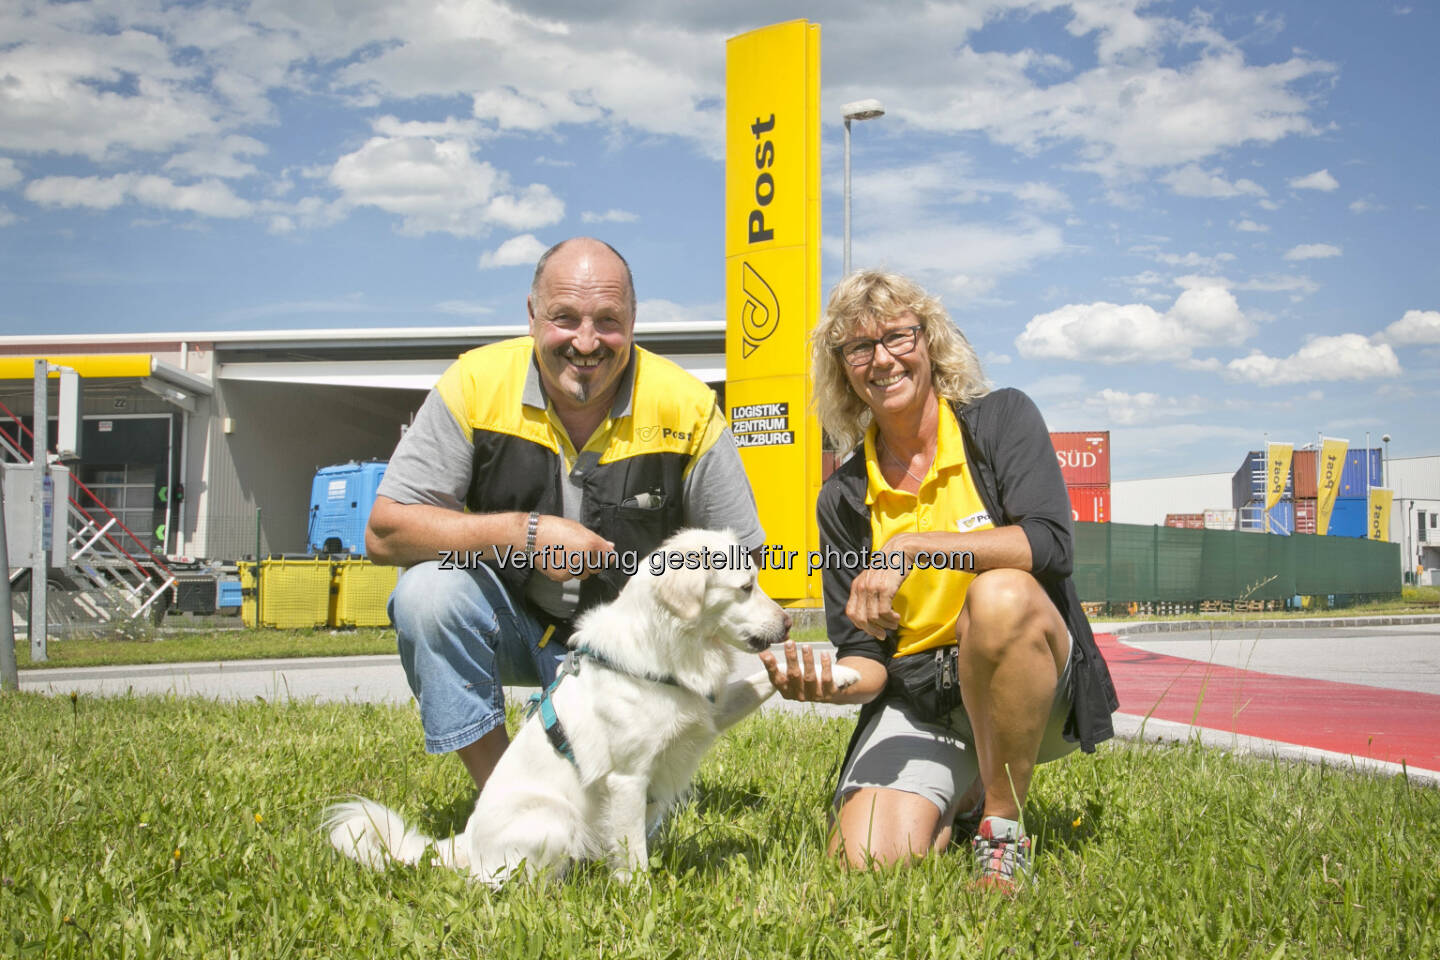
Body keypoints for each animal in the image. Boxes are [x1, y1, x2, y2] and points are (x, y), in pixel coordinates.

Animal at [324, 529, 852, 892]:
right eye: (744, 588)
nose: (788, 623)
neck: (669, 649)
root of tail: (460, 843)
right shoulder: (628, 779)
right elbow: (633, 853)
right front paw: (641, 898)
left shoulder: (708, 710)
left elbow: (763, 679)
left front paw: (838, 673)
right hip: (552, 821)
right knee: (498, 883)